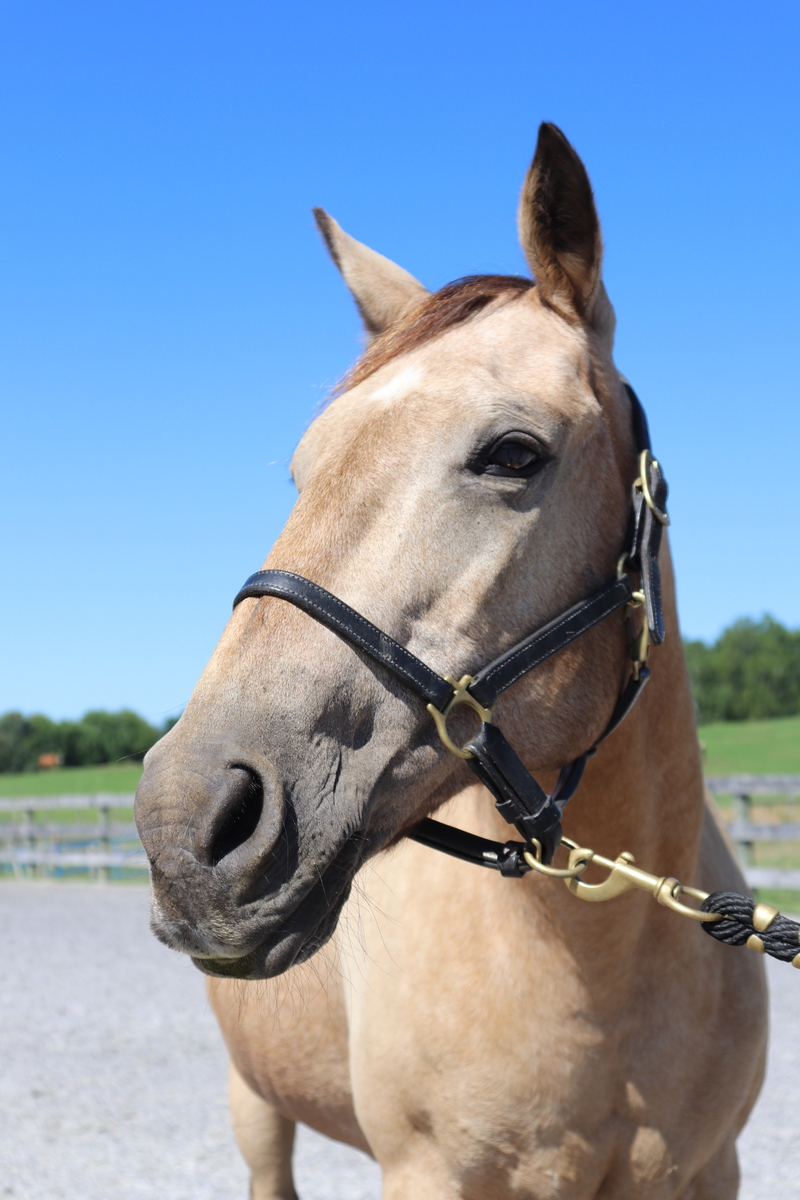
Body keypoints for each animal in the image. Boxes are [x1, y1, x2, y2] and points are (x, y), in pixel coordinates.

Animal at [135, 123, 767, 1199]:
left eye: (513, 453)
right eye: (305, 470)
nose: (187, 822)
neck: (602, 959)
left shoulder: (705, 1171)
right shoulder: (427, 1172)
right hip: (255, 1105)